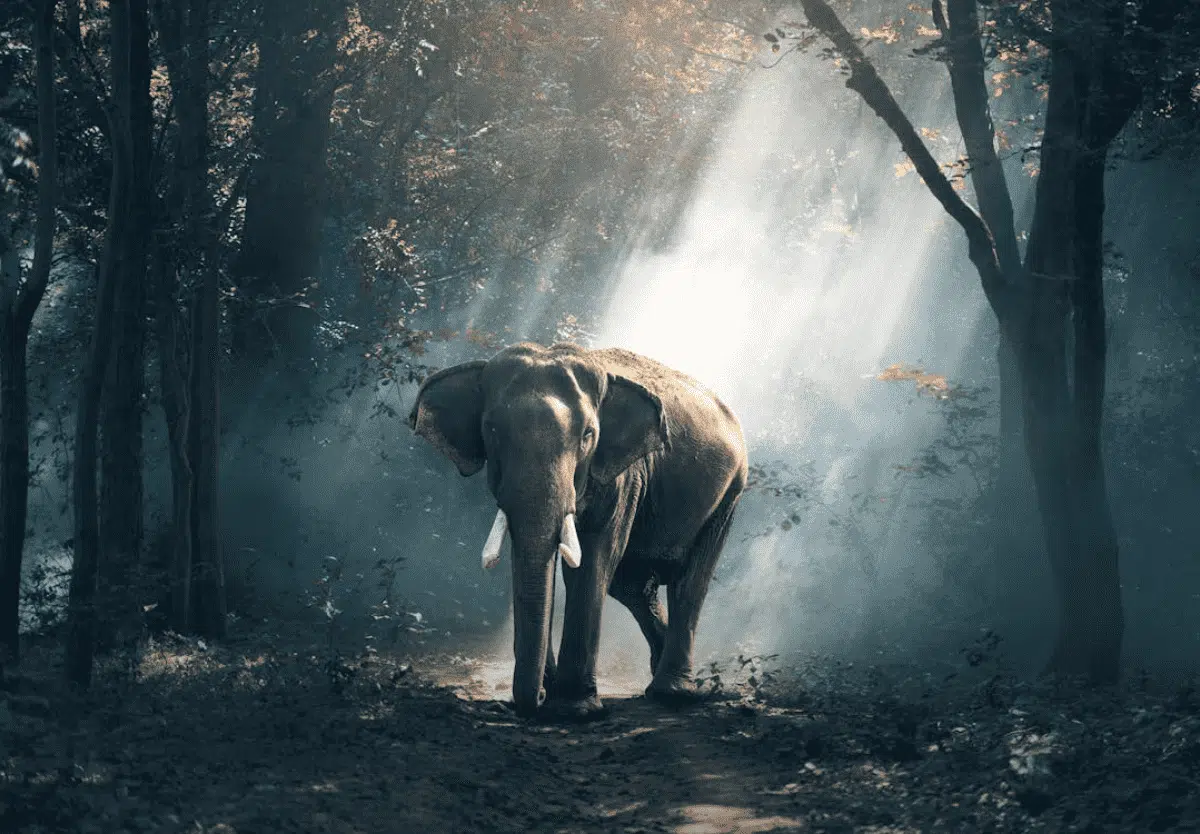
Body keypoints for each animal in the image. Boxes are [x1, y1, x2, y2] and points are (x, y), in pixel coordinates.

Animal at [408, 342, 748, 719]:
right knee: (632, 586)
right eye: (491, 430)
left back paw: (673, 694)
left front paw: (574, 710)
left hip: (730, 492)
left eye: (588, 435)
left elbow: (593, 560)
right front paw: (555, 694)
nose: (538, 698)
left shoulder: (623, 475)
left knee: (689, 582)